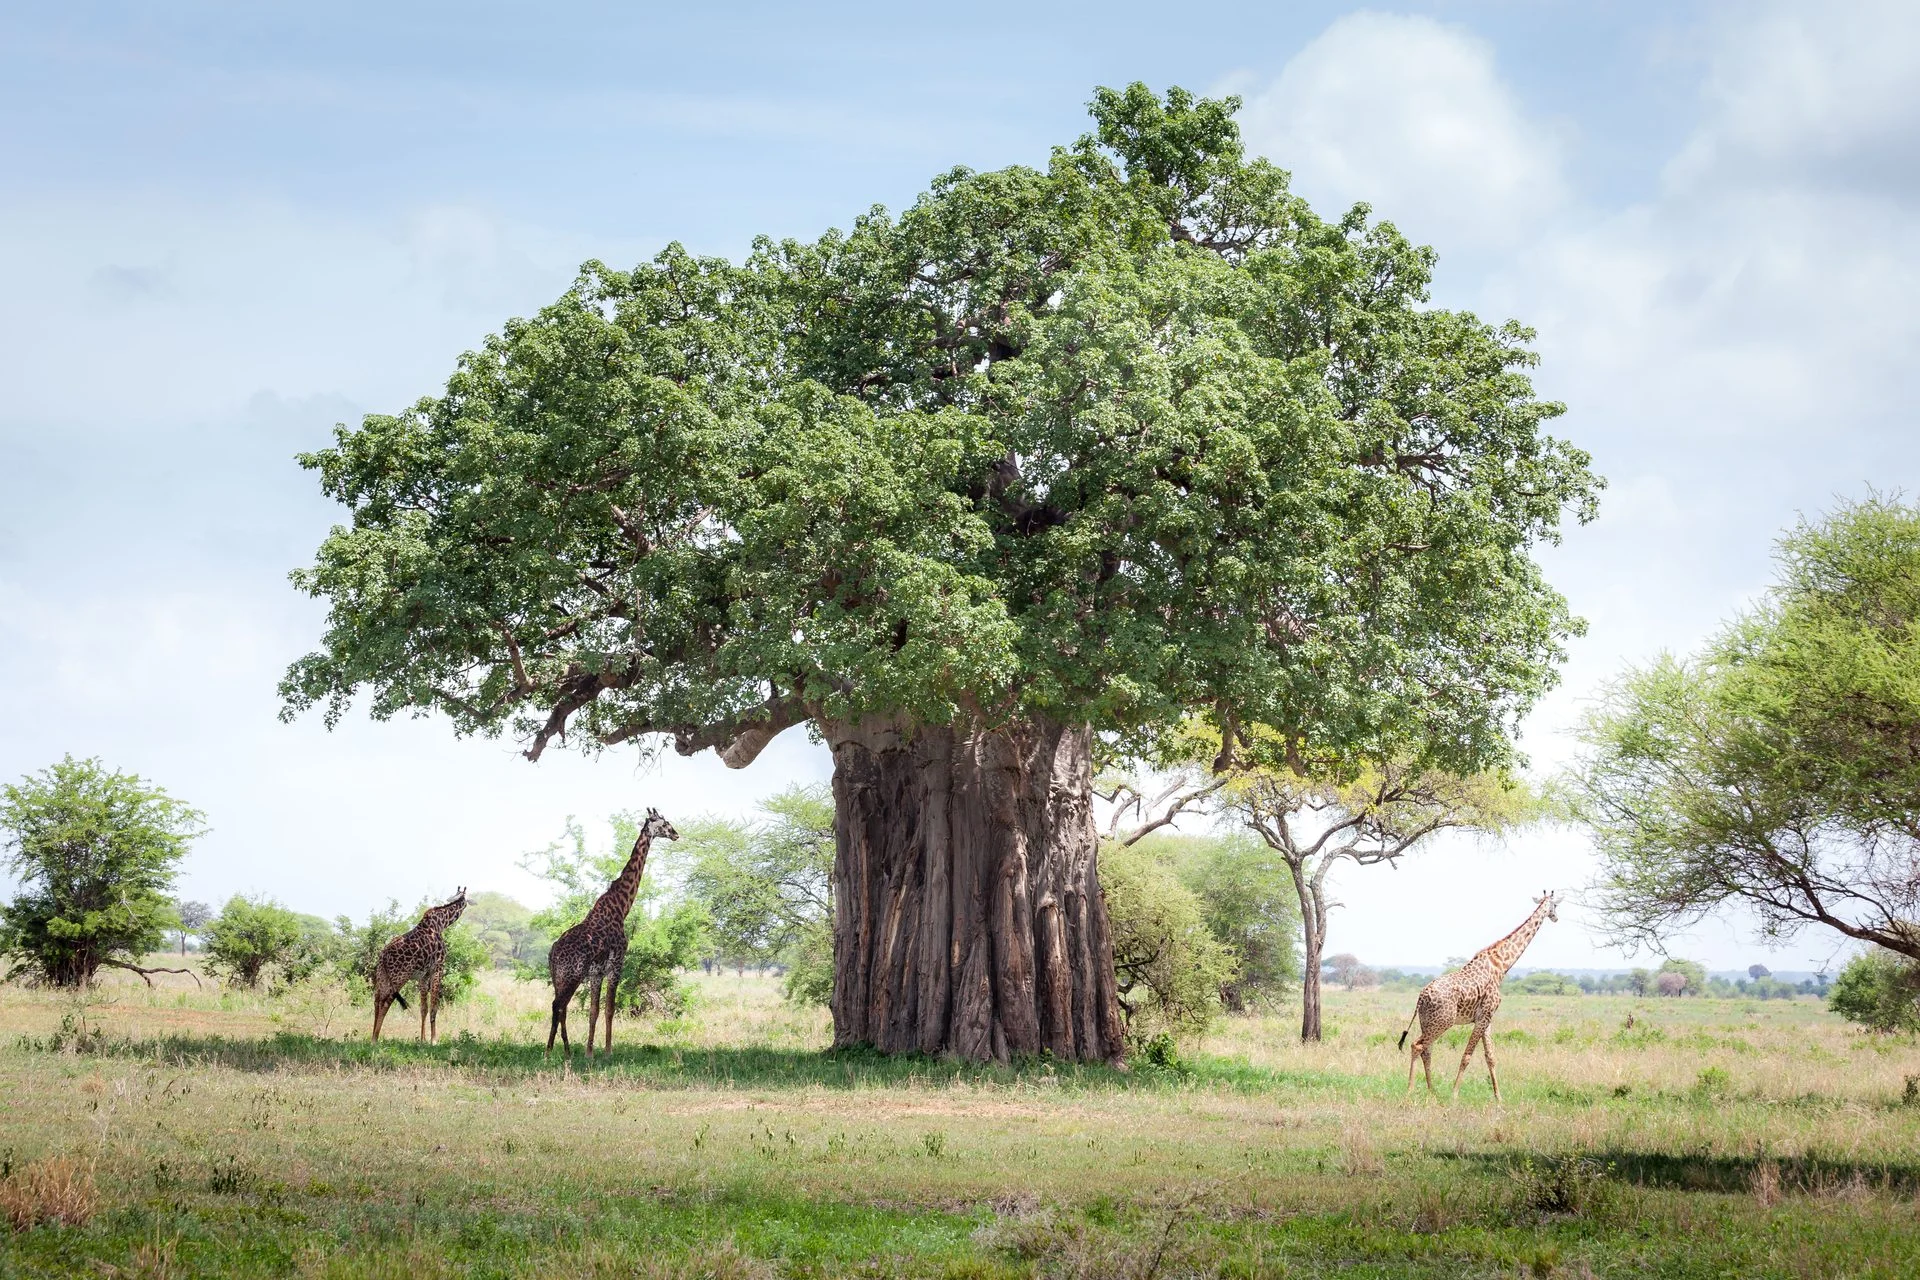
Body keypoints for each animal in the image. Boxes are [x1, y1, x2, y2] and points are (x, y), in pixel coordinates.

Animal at [371, 887, 468, 1044]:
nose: (465, 904)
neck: (442, 923)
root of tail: (383, 956)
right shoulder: (438, 968)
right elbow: (434, 1007)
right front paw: (434, 1040)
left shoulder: (423, 975)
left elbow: (424, 1008)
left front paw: (422, 1040)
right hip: (399, 977)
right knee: (386, 1002)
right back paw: (375, 1039)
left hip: (382, 977)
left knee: (377, 1001)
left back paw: (372, 1036)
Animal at [545, 808, 679, 1064]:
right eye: (664, 823)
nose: (676, 834)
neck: (621, 906)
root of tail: (553, 953)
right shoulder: (617, 964)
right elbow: (610, 1008)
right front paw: (608, 1051)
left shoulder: (596, 972)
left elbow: (594, 1010)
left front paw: (589, 1052)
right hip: (572, 975)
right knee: (559, 1005)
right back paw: (551, 1052)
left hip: (559, 977)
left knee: (559, 1007)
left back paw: (564, 1051)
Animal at [1398, 890, 1559, 1101]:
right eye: (1555, 905)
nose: (1556, 917)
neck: (1502, 965)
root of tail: (1421, 997)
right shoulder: (1485, 1015)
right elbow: (1467, 1056)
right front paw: (1455, 1094)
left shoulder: (1486, 1017)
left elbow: (1490, 1056)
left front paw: (1499, 1098)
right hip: (1443, 1021)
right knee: (1417, 1046)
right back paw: (1410, 1090)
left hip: (1428, 1021)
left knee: (1427, 1050)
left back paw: (1431, 1091)